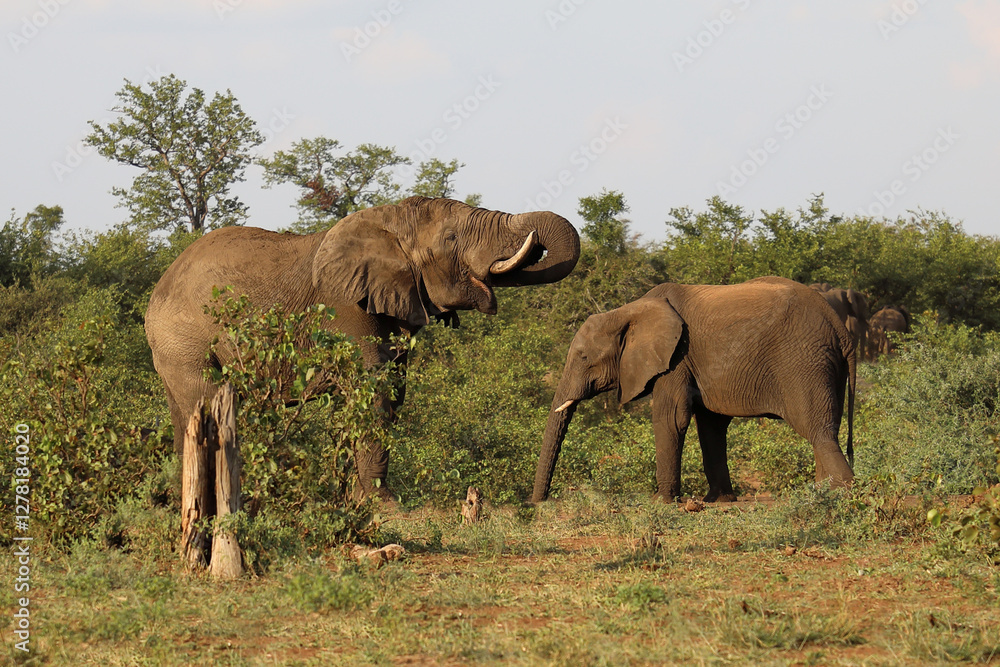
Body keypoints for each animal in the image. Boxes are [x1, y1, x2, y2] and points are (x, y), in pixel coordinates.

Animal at [145, 196, 580, 498]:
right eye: (451, 238)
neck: (388, 221)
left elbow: (384, 393)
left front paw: (347, 496)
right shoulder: (343, 306)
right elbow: (373, 391)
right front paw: (382, 501)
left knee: (184, 415)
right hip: (184, 339)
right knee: (207, 398)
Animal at [531, 276, 856, 504]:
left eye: (583, 357)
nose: (539, 503)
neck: (630, 310)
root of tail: (839, 327)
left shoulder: (676, 357)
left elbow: (671, 419)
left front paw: (661, 501)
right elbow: (710, 426)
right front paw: (719, 500)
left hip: (804, 361)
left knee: (817, 430)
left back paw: (838, 494)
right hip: (827, 365)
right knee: (827, 428)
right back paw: (821, 491)